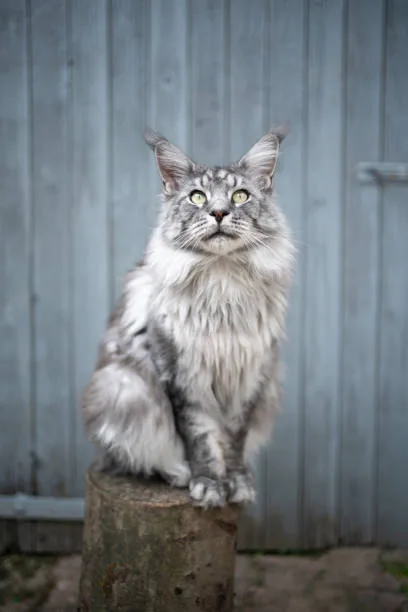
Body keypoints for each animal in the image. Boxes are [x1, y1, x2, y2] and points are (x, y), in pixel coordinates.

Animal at [82, 128, 294, 506]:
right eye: (197, 197)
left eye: (240, 195)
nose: (220, 212)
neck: (223, 284)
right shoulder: (183, 376)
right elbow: (202, 439)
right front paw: (208, 485)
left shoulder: (251, 377)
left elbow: (234, 441)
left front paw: (235, 483)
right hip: (123, 387)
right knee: (135, 458)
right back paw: (179, 474)